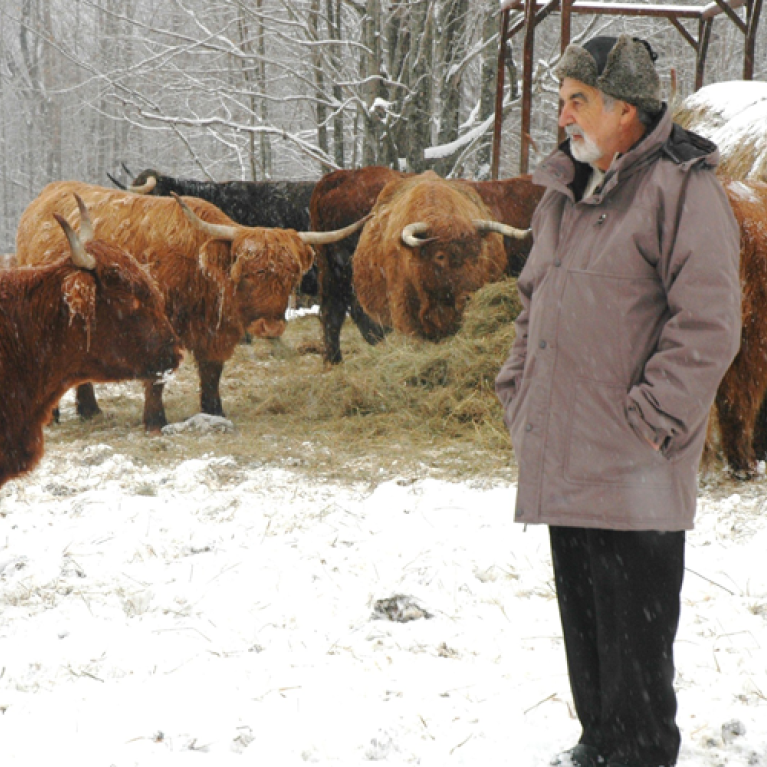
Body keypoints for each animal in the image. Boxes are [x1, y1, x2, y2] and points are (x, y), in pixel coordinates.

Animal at [17, 182, 366, 428]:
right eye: (247, 272)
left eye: (291, 274)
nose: (270, 326)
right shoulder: (155, 331)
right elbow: (156, 376)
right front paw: (155, 421)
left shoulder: (215, 332)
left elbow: (211, 373)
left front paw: (214, 412)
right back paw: (56, 416)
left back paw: (90, 410)